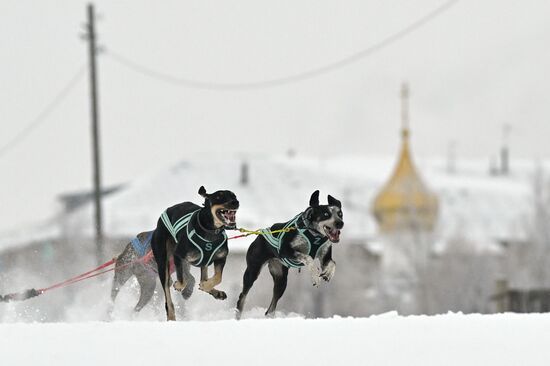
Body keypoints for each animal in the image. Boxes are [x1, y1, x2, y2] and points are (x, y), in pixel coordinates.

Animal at [150, 186, 238, 320]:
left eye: (234, 196)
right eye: (219, 196)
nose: (235, 202)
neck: (210, 230)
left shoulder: (221, 257)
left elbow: (218, 277)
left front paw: (207, 286)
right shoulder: (178, 256)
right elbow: (182, 280)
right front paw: (179, 285)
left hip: (201, 262)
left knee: (201, 278)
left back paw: (215, 292)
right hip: (162, 261)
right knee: (168, 291)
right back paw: (171, 315)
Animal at [237, 190, 344, 318]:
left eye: (340, 214)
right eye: (326, 214)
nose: (340, 223)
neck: (314, 235)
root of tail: (260, 234)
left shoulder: (325, 255)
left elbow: (333, 262)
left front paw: (328, 273)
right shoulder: (285, 250)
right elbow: (308, 257)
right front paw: (314, 276)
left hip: (281, 281)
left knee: (270, 309)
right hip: (252, 272)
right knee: (242, 296)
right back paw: (238, 314)